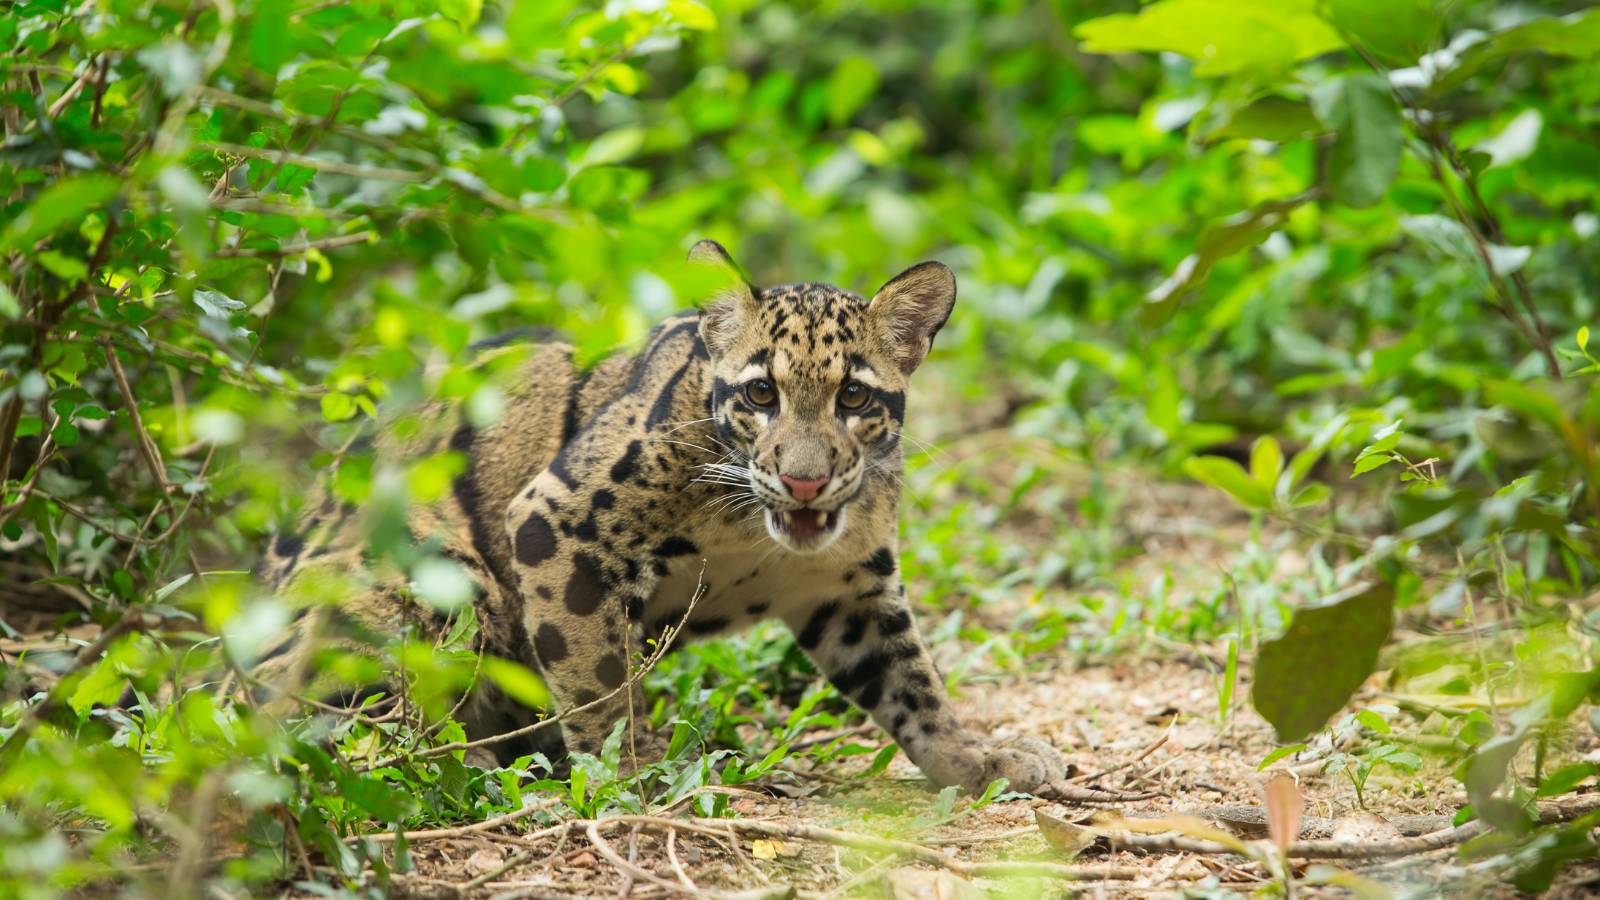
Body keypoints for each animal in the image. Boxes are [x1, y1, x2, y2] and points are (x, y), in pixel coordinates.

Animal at [254, 240, 1067, 794]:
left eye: (855, 397)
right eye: (762, 393)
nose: (804, 482)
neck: (751, 526)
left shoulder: (850, 587)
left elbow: (911, 683)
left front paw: (978, 758)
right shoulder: (555, 520)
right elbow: (598, 676)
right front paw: (635, 776)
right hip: (442, 578)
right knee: (314, 728)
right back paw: (463, 757)